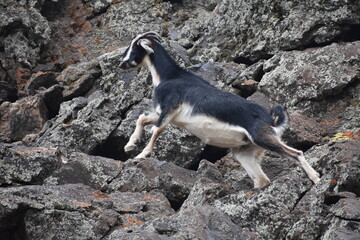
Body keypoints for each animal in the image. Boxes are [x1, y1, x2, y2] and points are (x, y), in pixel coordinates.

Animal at [119, 31, 320, 188]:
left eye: (134, 46)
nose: (121, 63)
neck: (169, 76)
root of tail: (270, 119)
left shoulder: (170, 108)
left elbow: (156, 130)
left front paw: (142, 154)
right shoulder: (164, 113)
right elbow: (142, 119)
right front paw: (129, 145)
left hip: (262, 136)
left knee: (296, 154)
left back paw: (316, 178)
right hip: (245, 151)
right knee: (262, 179)